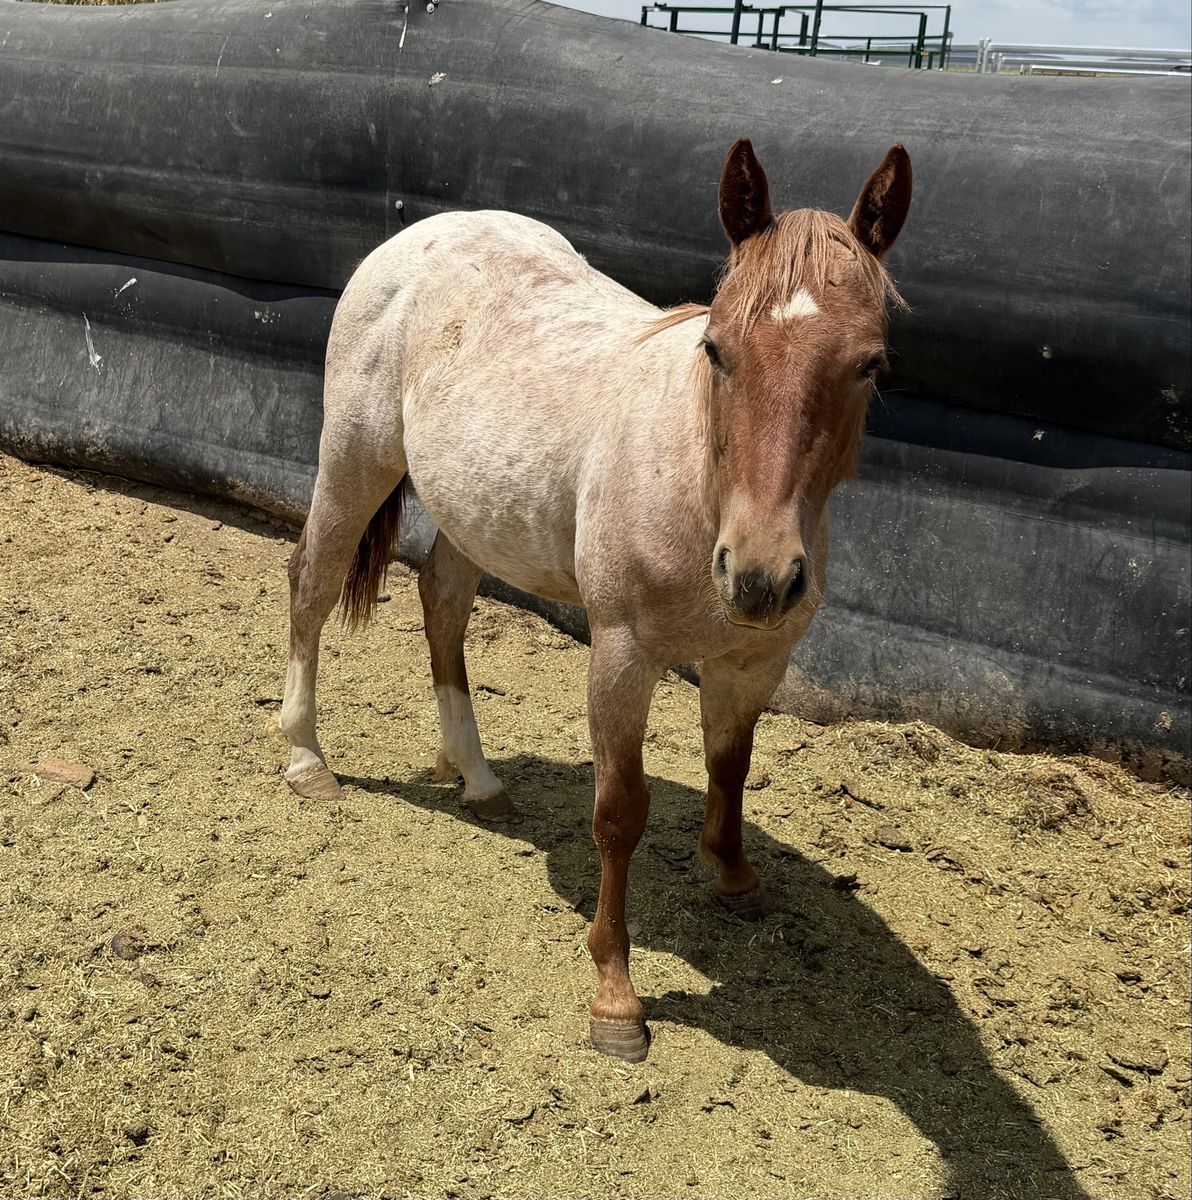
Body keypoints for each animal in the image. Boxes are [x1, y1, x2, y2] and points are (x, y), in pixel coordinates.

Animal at [281, 138, 912, 1062]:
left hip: (473, 509)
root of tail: (425, 235)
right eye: (717, 349)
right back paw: (306, 758)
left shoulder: (754, 660)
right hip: (356, 460)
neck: (696, 479)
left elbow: (730, 766)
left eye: (870, 364)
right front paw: (616, 997)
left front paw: (733, 875)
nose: (759, 576)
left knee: (443, 601)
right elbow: (619, 812)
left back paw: (476, 775)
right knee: (313, 586)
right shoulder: (621, 653)